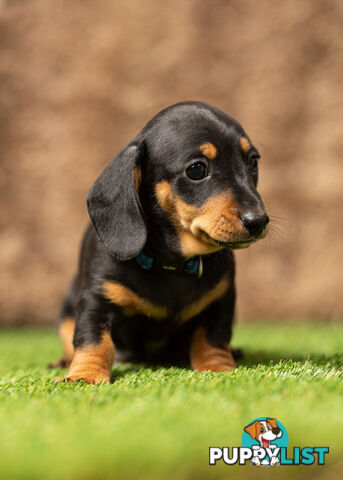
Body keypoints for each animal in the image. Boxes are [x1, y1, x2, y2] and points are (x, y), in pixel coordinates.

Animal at [52, 102, 270, 386]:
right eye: (197, 169)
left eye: (253, 161)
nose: (258, 221)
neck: (171, 264)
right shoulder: (96, 300)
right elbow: (93, 341)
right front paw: (85, 375)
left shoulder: (221, 300)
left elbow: (212, 338)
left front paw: (218, 367)